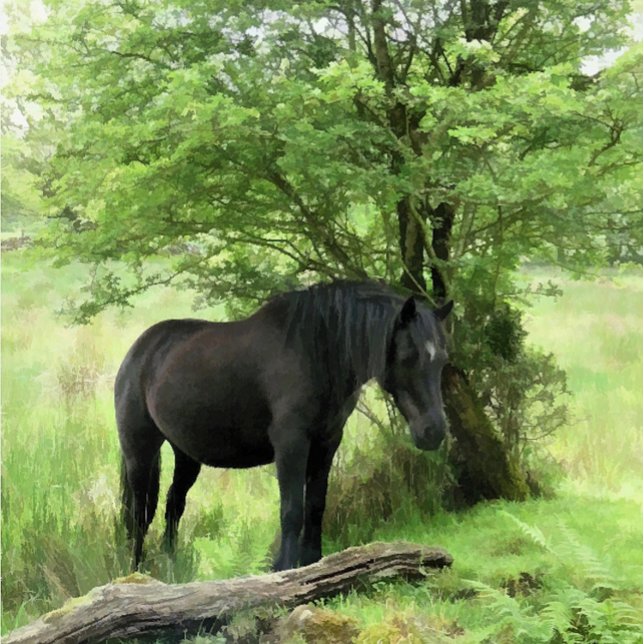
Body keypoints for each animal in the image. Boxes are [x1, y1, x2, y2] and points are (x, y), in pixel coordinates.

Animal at [115, 280, 453, 571]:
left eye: (442, 359)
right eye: (409, 356)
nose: (433, 432)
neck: (317, 352)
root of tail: (139, 350)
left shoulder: (327, 442)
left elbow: (315, 506)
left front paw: (313, 563)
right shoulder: (291, 443)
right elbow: (292, 510)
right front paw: (284, 568)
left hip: (186, 455)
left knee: (173, 506)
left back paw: (172, 569)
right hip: (140, 452)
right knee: (139, 514)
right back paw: (136, 572)